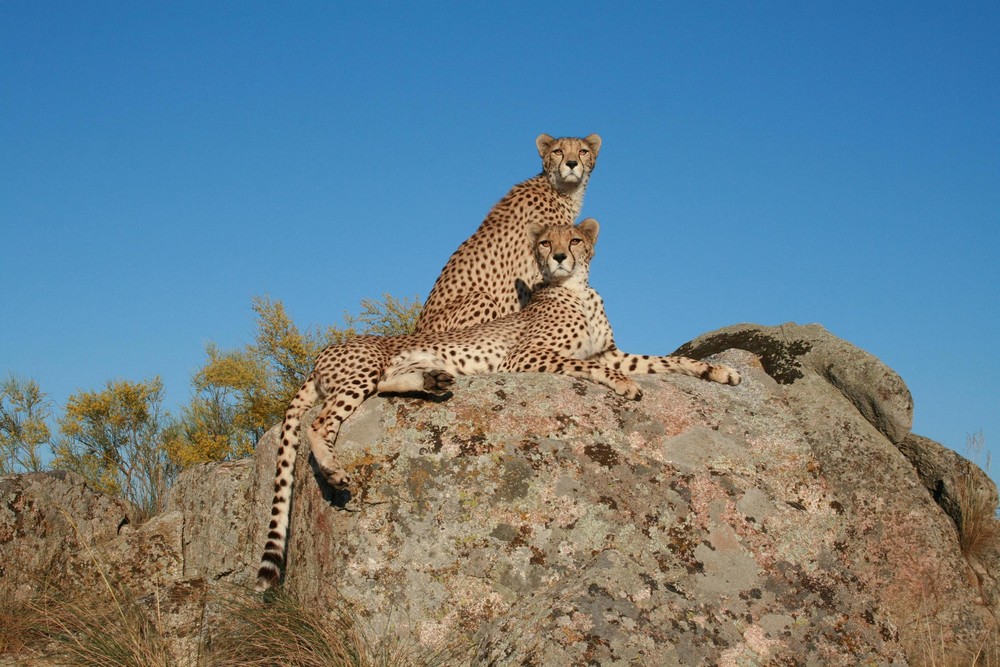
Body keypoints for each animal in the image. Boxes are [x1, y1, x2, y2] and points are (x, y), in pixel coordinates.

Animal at [258, 219, 744, 588]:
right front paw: (624, 387)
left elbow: (666, 360)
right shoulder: (527, 357)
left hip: (376, 375)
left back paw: (432, 379)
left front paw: (718, 372)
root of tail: (319, 354)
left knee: (380, 390)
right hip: (360, 373)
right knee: (319, 424)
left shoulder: (611, 352)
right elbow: (592, 367)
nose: (560, 257)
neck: (576, 290)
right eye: (547, 242)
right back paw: (335, 471)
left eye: (575, 240)